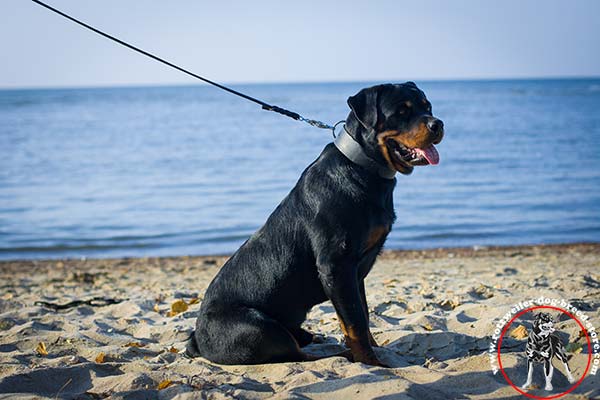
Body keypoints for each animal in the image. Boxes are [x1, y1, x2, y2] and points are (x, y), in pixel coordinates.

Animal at [188, 81, 446, 366]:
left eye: (427, 107)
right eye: (401, 111)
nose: (437, 124)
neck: (362, 166)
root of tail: (197, 340)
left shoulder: (354, 273)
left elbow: (362, 315)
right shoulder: (336, 266)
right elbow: (355, 323)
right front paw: (371, 362)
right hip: (257, 327)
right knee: (296, 355)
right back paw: (337, 353)